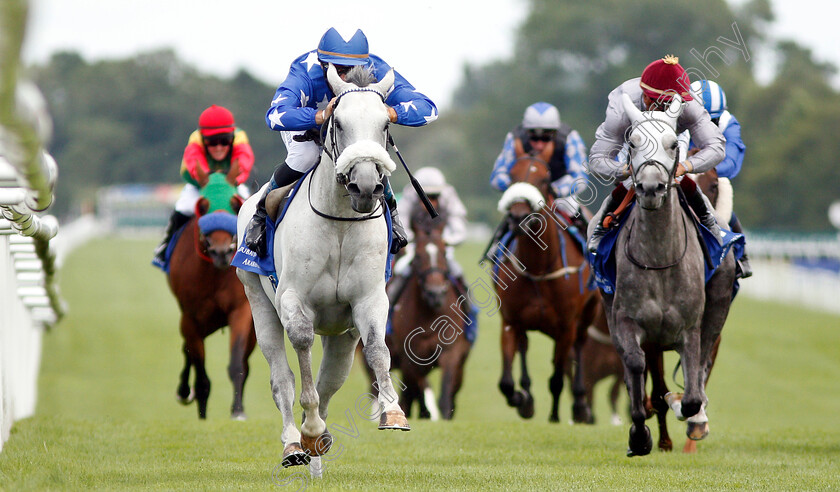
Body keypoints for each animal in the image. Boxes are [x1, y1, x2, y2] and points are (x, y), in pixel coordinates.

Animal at [166, 173, 254, 418]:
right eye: (204, 206)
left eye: (234, 205)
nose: (221, 252)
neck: (215, 274)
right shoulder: (190, 317)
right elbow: (200, 371)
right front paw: (202, 414)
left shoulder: (241, 311)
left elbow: (237, 364)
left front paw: (238, 411)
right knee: (188, 352)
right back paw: (184, 391)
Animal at [236, 64, 410, 468]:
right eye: (339, 122)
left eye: (385, 124)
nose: (366, 185)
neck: (340, 222)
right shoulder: (293, 299)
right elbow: (300, 347)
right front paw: (311, 427)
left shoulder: (368, 299)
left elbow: (377, 350)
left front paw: (393, 412)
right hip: (256, 298)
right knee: (280, 377)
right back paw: (295, 442)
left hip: (342, 332)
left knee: (332, 376)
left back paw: (318, 442)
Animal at [388, 199, 472, 418]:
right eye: (418, 256)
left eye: (443, 252)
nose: (435, 294)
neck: (429, 316)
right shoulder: (410, 360)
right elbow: (419, 389)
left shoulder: (452, 352)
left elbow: (445, 393)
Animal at [492, 146, 604, 422]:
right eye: (512, 176)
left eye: (544, 178)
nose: (519, 217)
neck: (539, 267)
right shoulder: (510, 321)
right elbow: (506, 383)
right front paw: (522, 399)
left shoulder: (566, 325)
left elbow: (556, 378)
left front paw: (556, 416)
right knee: (525, 348)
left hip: (587, 316)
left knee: (578, 349)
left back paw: (579, 404)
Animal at [600, 93, 740, 458]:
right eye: (632, 142)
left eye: (673, 143)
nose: (651, 187)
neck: (659, 257)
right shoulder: (629, 321)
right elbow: (635, 367)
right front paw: (640, 434)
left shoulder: (689, 327)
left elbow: (691, 391)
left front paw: (686, 409)